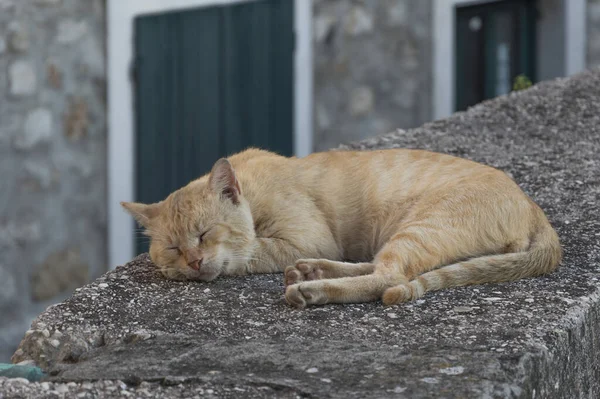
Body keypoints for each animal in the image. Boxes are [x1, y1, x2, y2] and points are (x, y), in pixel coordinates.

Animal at [122, 148, 564, 310]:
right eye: (174, 248)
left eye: (204, 234)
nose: (194, 262)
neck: (253, 187)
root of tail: (533, 206)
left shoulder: (305, 238)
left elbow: (247, 252)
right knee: (377, 267)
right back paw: (311, 272)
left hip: (421, 227)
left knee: (389, 276)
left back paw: (312, 289)